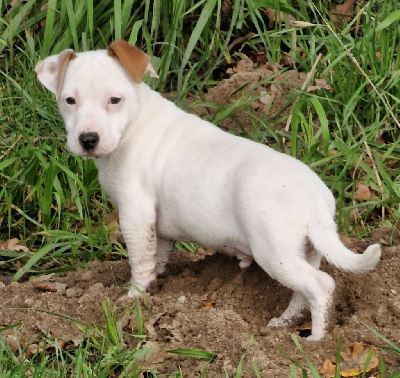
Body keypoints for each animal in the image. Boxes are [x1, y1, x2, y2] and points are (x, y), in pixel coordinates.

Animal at [35, 39, 382, 342]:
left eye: (114, 100)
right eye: (69, 101)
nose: (88, 140)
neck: (132, 125)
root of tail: (315, 200)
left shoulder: (135, 214)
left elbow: (139, 261)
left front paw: (133, 300)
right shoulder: (157, 226)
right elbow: (156, 256)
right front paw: (154, 290)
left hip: (275, 252)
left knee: (321, 286)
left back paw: (316, 340)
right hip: (304, 251)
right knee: (302, 291)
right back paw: (283, 324)